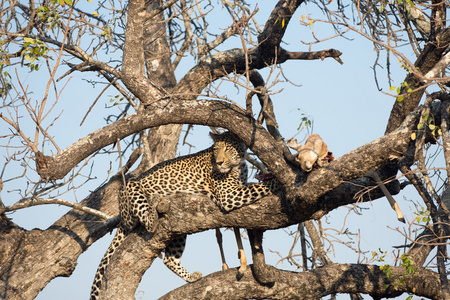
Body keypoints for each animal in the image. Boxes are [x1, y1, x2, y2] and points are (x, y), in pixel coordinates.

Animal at [89, 132, 280, 300]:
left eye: (227, 148)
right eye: (216, 149)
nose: (219, 162)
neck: (238, 165)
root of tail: (121, 214)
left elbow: (236, 227)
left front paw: (242, 263)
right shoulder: (229, 196)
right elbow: (258, 187)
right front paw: (281, 181)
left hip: (177, 231)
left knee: (169, 259)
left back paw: (192, 276)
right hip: (130, 189)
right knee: (147, 220)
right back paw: (153, 211)